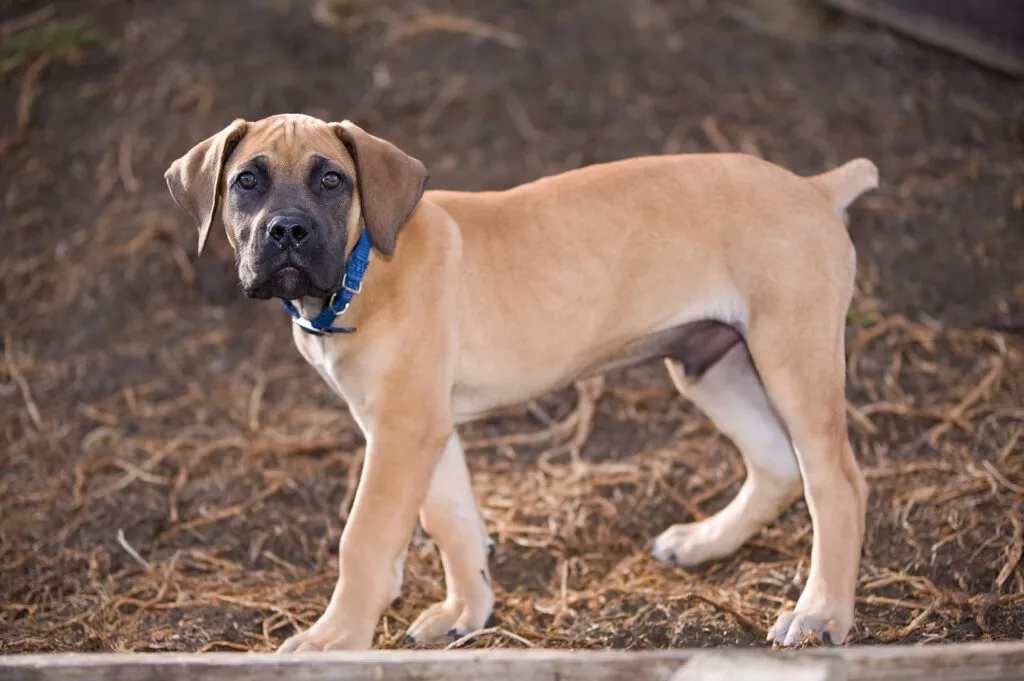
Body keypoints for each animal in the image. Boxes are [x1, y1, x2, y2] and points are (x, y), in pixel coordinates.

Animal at [163, 114, 876, 651]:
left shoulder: (403, 430)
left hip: (791, 355)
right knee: (777, 463)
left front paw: (334, 639)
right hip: (710, 363)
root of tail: (815, 188)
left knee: (835, 481)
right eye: (246, 182)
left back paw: (820, 613)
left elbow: (364, 539)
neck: (364, 266)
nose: (287, 230)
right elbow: (452, 521)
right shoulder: (421, 427)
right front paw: (466, 612)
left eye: (333, 179)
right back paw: (706, 542)